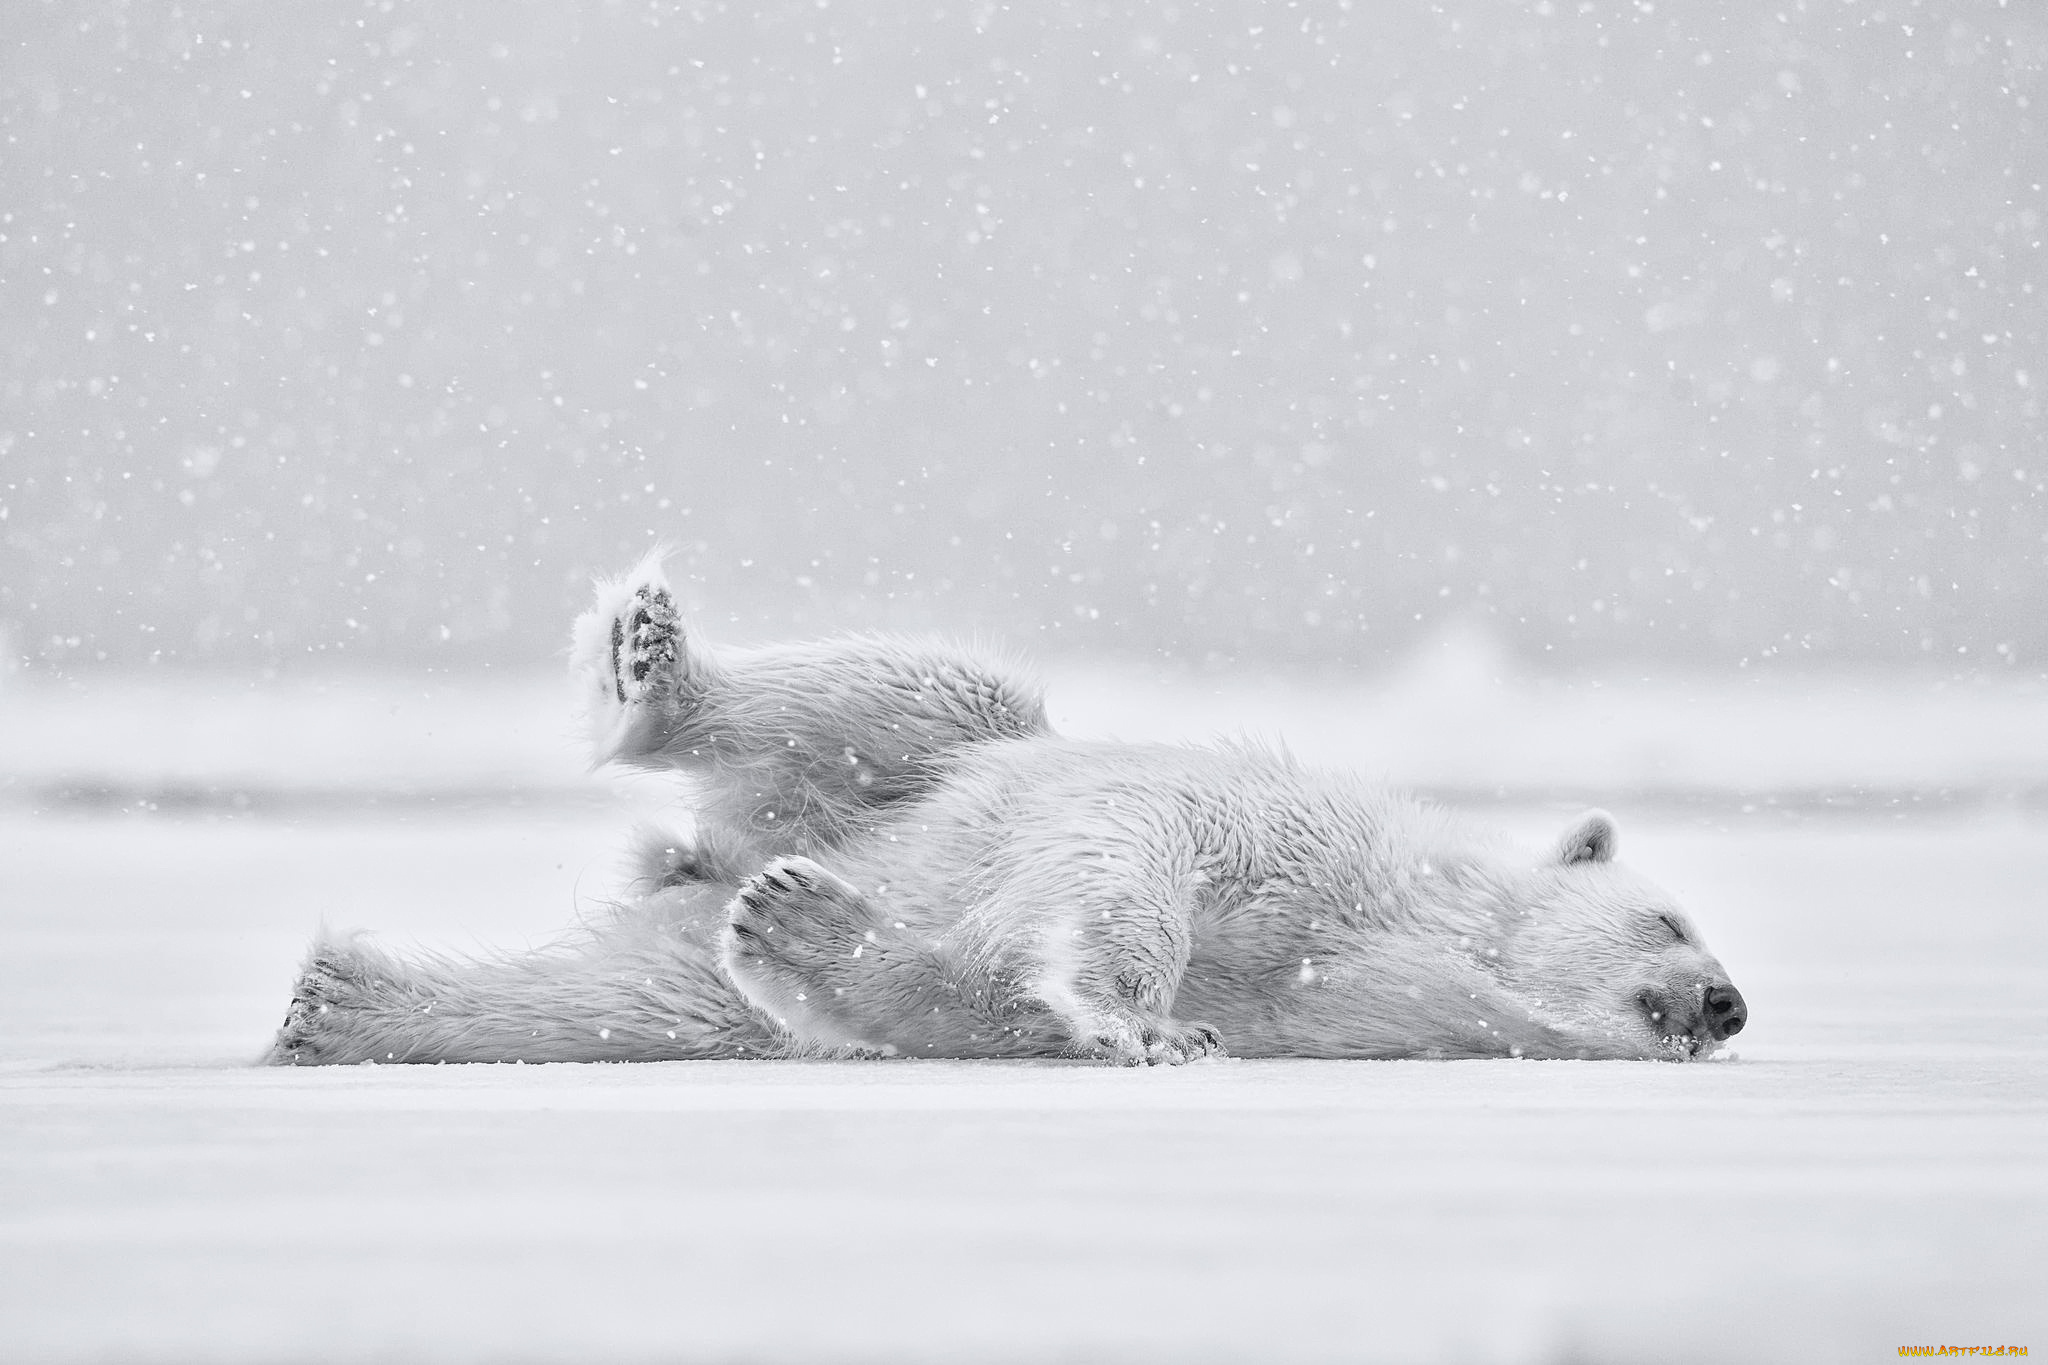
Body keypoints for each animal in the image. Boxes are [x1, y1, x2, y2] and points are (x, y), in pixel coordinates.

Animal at [267, 554, 1748, 1067]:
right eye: (1670, 918)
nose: (1726, 1003)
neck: (1407, 918)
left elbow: (983, 1000)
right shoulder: (1284, 836)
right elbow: (1135, 858)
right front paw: (1151, 1022)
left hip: (713, 931)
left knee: (626, 996)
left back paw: (341, 1001)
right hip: (929, 762)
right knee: (920, 692)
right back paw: (652, 666)